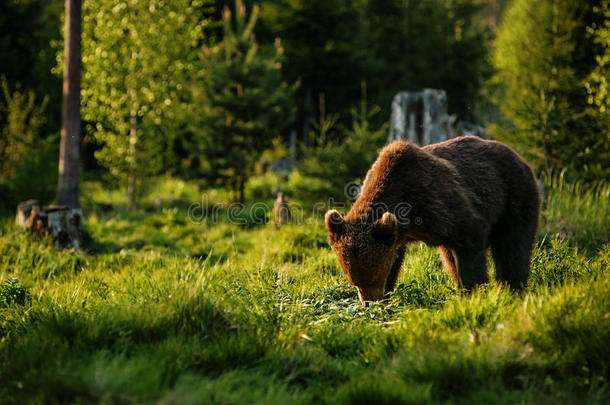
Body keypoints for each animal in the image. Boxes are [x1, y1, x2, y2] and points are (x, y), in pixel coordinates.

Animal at [326, 134, 540, 304]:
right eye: (353, 281)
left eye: (375, 277)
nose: (370, 303)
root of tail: (518, 156)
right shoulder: (396, 236)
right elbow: (396, 256)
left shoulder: (436, 199)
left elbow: (469, 242)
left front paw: (473, 291)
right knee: (449, 256)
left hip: (514, 195)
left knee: (513, 246)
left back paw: (511, 289)